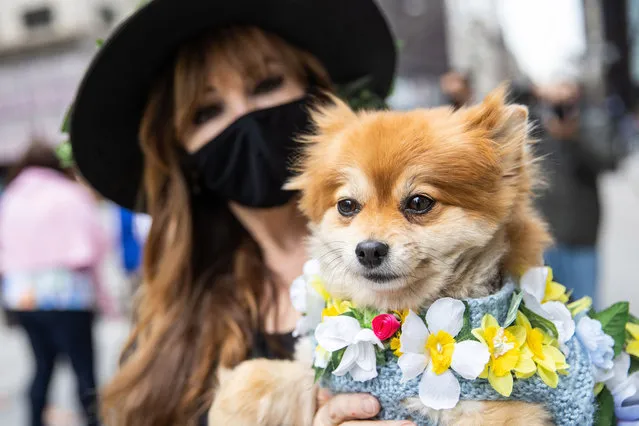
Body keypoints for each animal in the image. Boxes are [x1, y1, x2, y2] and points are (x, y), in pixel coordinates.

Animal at [209, 87, 556, 426]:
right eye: (347, 206)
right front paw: (225, 408)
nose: (368, 249)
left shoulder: (496, 411)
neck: (394, 311)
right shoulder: (326, 374)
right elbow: (259, 377)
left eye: (419, 202)